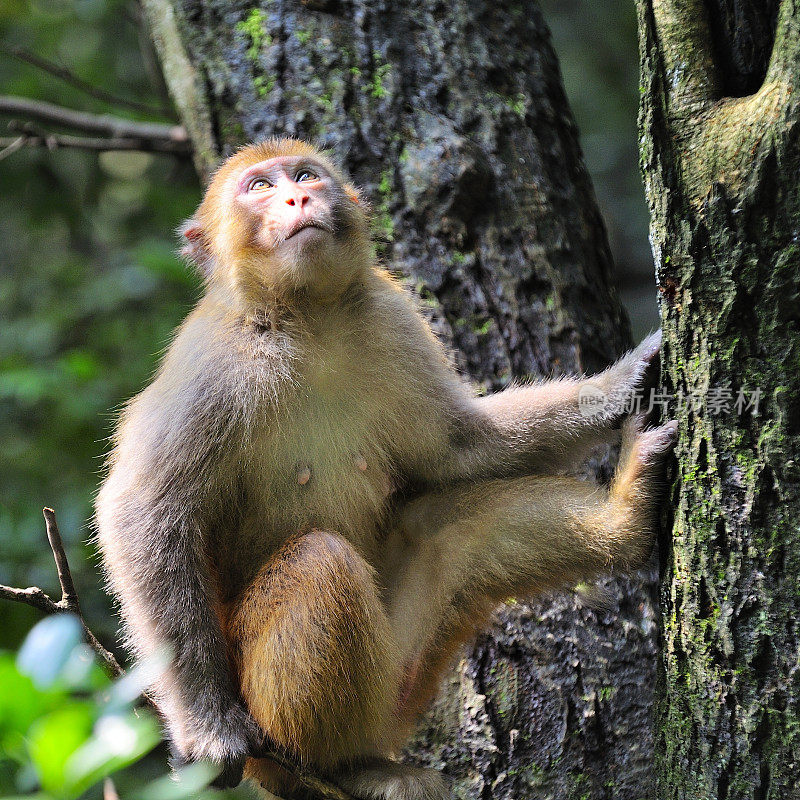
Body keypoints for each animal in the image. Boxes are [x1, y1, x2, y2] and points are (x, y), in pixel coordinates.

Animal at [94, 139, 676, 800]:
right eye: (259, 188)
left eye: (304, 175)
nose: (297, 199)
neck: (307, 320)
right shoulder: (210, 366)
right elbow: (145, 513)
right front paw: (207, 727)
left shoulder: (392, 318)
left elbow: (456, 449)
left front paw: (620, 387)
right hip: (262, 706)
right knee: (320, 560)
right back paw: (341, 764)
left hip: (401, 673)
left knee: (449, 530)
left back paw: (624, 523)